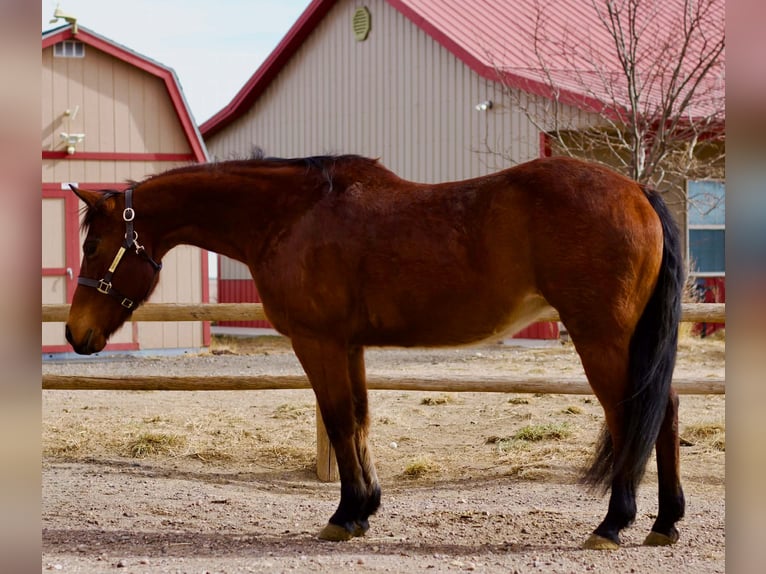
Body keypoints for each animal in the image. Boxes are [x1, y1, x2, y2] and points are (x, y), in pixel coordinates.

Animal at [65, 154, 685, 549]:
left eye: (93, 246)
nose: (75, 335)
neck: (288, 217)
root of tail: (638, 192)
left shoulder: (318, 342)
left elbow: (340, 422)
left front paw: (344, 515)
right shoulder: (350, 345)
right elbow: (360, 422)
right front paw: (365, 509)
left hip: (602, 337)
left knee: (633, 415)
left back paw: (614, 524)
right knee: (666, 412)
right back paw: (664, 523)